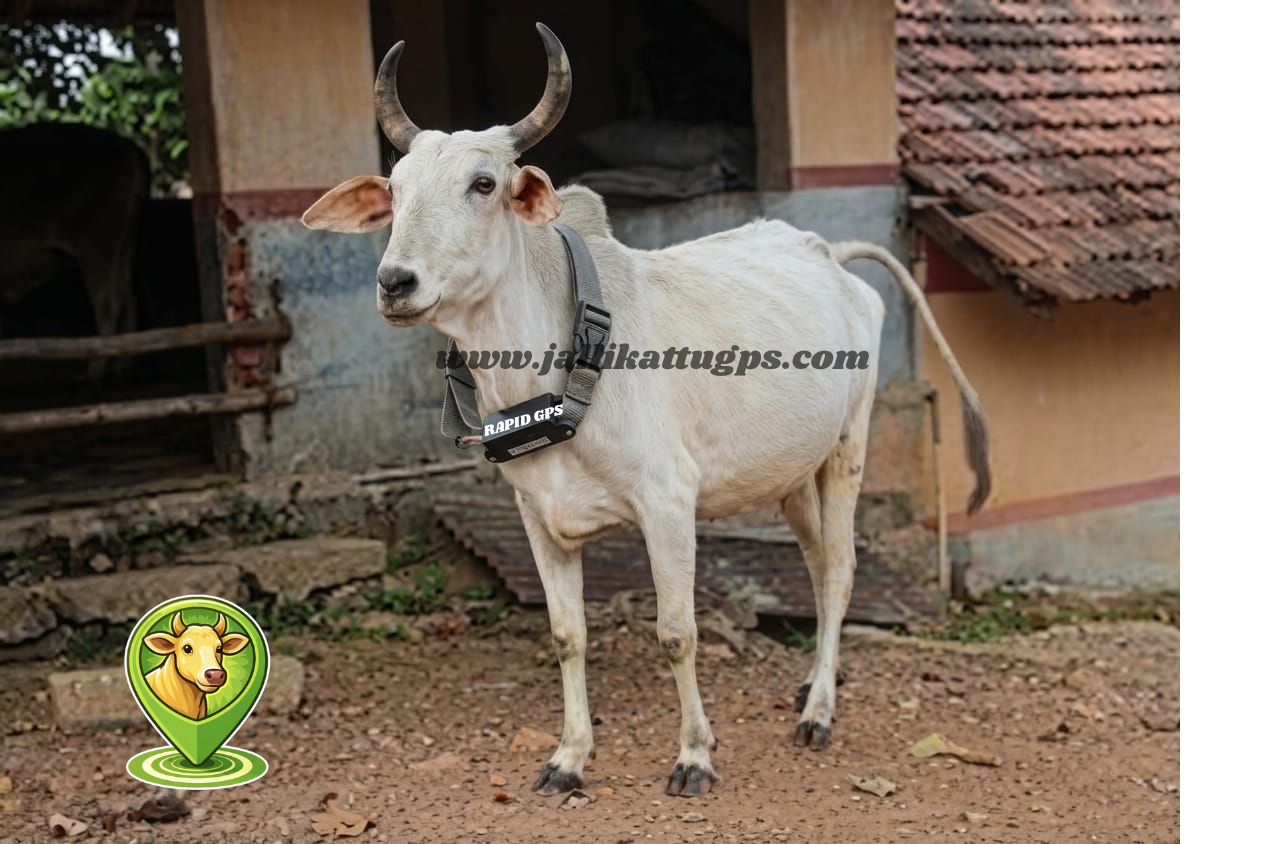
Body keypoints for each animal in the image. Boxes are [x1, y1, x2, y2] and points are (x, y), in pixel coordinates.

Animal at [0, 123, 148, 380]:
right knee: (128, 294)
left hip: (97, 244)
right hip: (123, 247)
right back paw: (124, 364)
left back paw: (94, 372)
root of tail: (126, 146)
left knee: (108, 302)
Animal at [302, 24, 990, 797]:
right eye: (395, 191)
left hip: (848, 447)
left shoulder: (668, 506)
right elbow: (567, 636)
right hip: (792, 477)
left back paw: (818, 712)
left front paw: (694, 756)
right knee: (817, 569)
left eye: (483, 184)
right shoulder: (538, 519)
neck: (553, 367)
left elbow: (676, 633)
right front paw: (569, 757)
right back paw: (815, 680)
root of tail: (827, 252)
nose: (395, 282)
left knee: (841, 570)